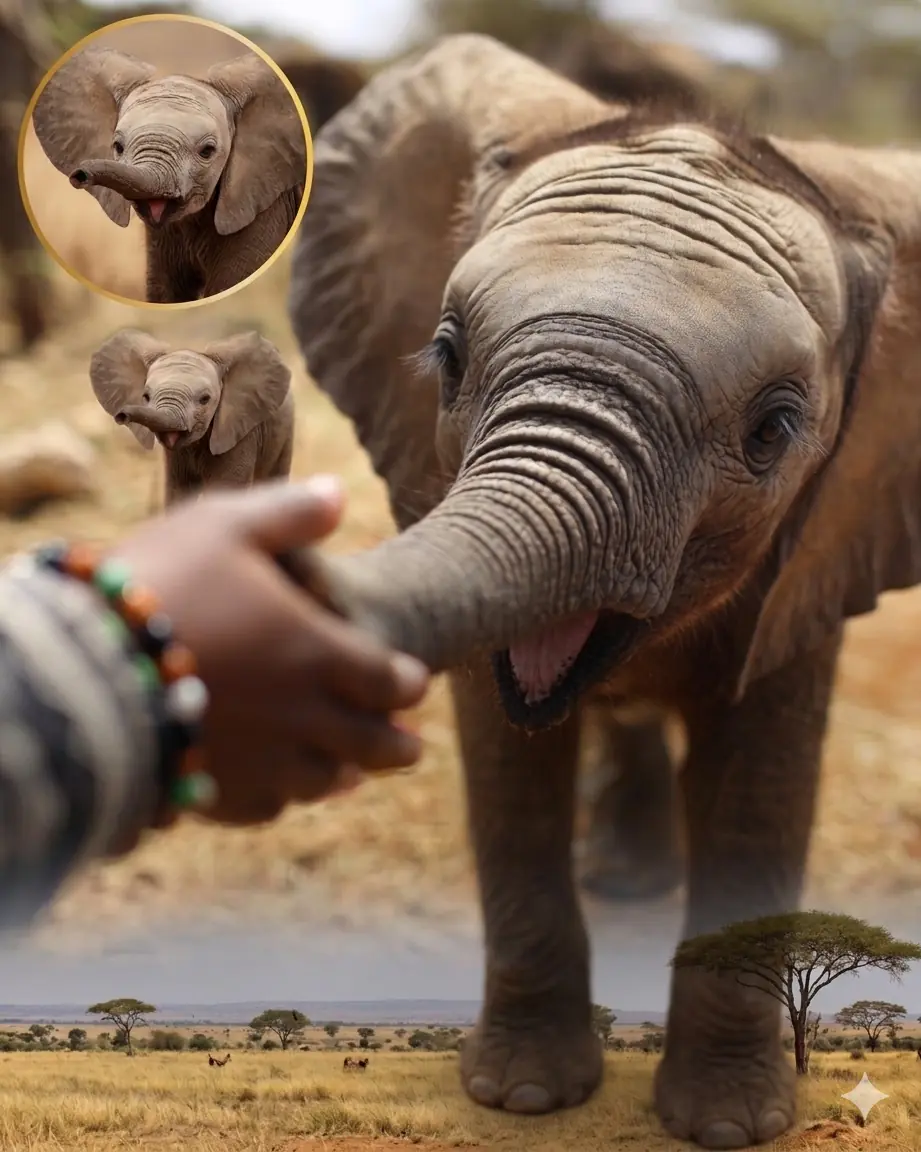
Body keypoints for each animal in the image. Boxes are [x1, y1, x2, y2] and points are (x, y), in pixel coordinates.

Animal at [285, 34, 921, 1150]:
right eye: (445, 356)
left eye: (775, 428)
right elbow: (506, 765)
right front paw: (523, 1098)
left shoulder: (828, 539)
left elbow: (760, 775)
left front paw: (726, 1124)